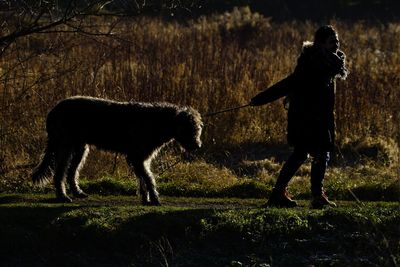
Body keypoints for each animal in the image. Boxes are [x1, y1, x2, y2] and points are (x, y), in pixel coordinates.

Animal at [32, 96, 203, 205]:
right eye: (190, 128)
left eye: (198, 128)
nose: (198, 145)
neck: (158, 122)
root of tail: (53, 111)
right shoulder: (136, 157)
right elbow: (148, 178)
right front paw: (154, 199)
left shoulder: (141, 159)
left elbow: (142, 178)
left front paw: (146, 199)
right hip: (65, 145)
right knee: (60, 173)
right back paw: (63, 196)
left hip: (80, 148)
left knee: (71, 172)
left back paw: (77, 192)